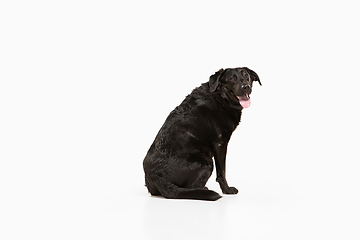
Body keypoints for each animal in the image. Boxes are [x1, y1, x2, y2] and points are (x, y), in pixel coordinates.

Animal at [142, 67, 260, 201]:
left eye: (246, 76)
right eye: (231, 78)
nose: (246, 86)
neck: (219, 97)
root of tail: (159, 177)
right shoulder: (221, 143)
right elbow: (222, 172)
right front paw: (227, 190)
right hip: (207, 162)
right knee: (192, 187)